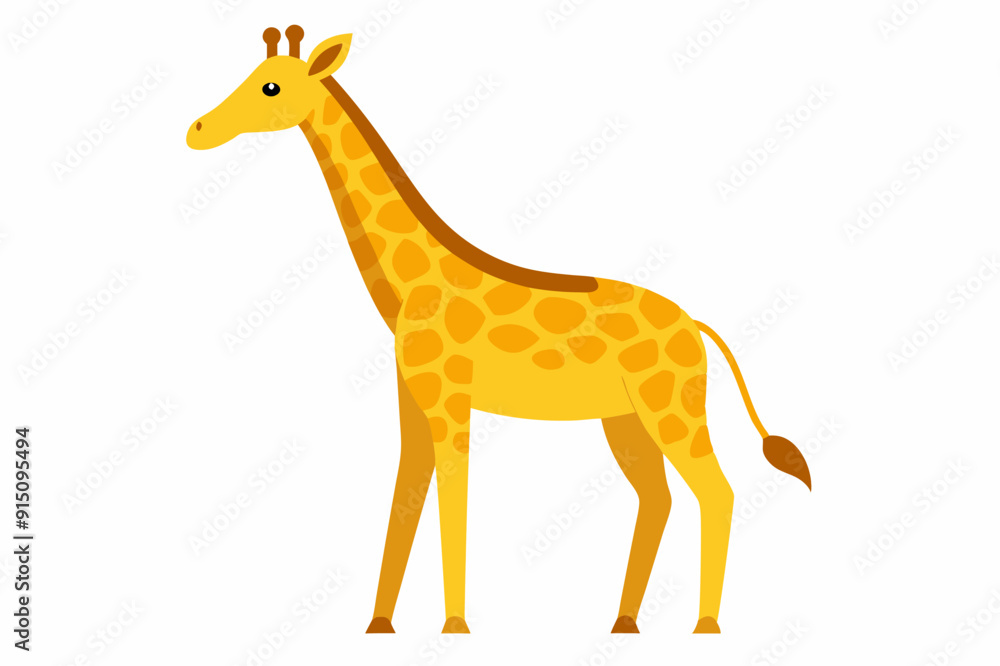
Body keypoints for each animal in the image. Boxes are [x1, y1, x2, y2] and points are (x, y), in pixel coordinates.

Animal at [186, 26, 812, 635]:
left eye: (270, 86)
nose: (196, 130)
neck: (410, 285)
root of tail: (696, 325)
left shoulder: (452, 403)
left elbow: (454, 500)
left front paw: (455, 627)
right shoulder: (414, 405)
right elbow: (405, 499)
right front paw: (379, 625)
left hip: (671, 407)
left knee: (718, 491)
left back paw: (705, 626)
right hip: (625, 418)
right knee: (658, 498)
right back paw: (624, 623)